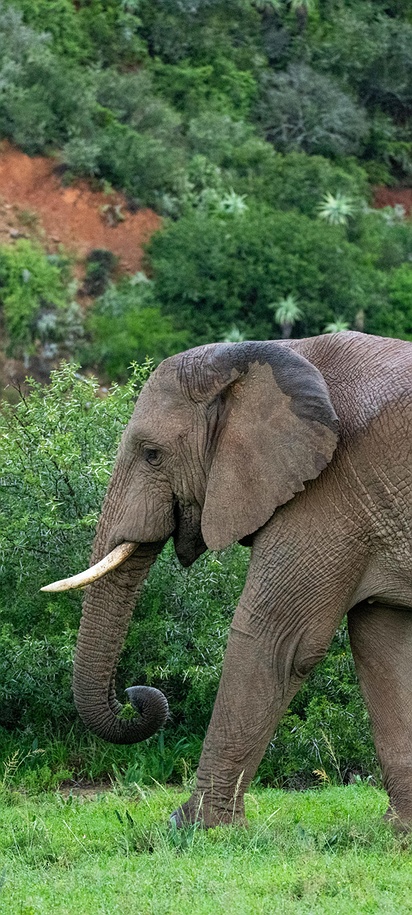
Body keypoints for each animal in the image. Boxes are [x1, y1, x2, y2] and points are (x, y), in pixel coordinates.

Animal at [42, 332, 412, 829]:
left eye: (152, 454)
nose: (137, 693)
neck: (272, 353)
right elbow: (383, 650)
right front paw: (400, 831)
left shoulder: (333, 490)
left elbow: (276, 642)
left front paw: (192, 827)